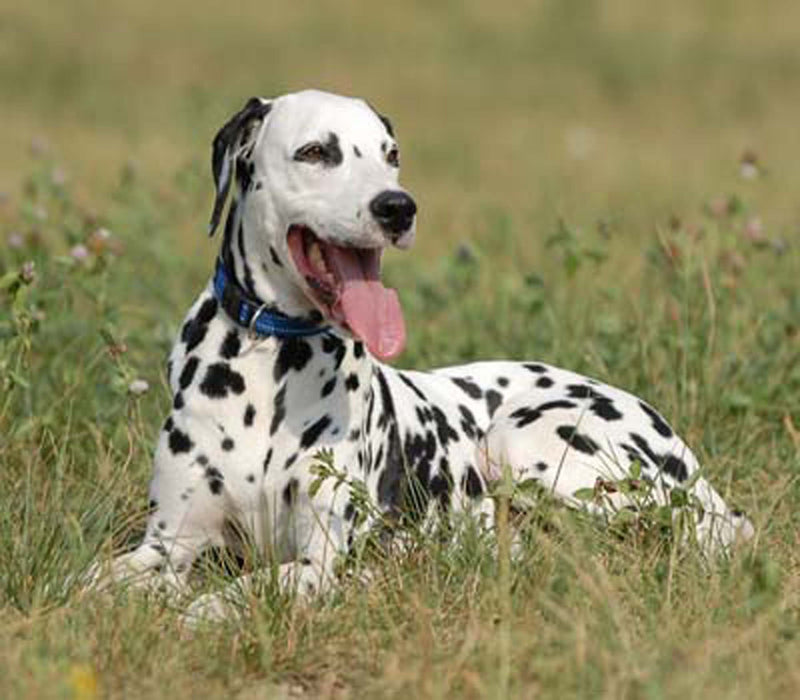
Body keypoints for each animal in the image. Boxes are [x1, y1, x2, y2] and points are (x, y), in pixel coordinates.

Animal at [89, 90, 756, 620]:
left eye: (391, 154)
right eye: (316, 152)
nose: (397, 206)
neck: (267, 357)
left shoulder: (319, 558)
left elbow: (238, 592)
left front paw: (196, 611)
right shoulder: (166, 543)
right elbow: (95, 579)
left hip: (522, 441)